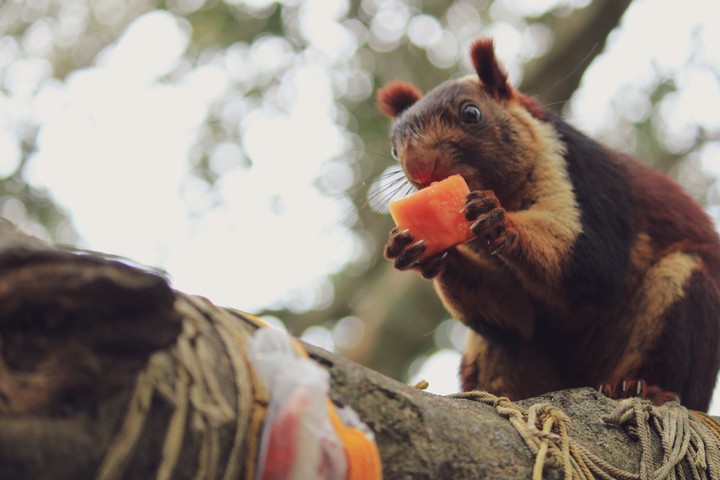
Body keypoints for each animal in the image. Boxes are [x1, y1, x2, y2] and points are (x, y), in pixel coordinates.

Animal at [376, 38, 720, 411]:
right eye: (393, 150)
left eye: (471, 114)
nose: (418, 167)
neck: (506, 191)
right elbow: (519, 318)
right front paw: (415, 251)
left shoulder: (580, 172)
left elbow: (594, 264)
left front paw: (500, 220)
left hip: (682, 299)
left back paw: (645, 388)